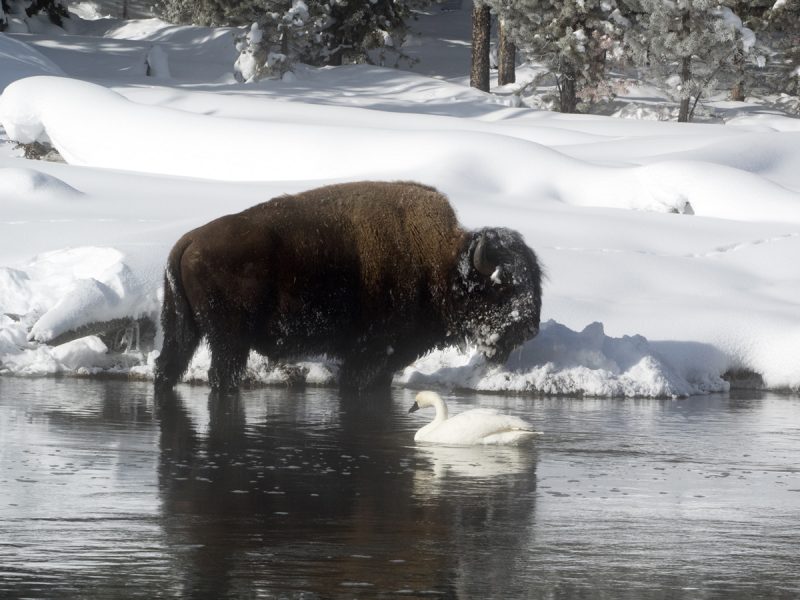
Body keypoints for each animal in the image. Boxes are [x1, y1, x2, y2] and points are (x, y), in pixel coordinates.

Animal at [154, 181, 542, 392]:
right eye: (502, 287)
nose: (530, 328)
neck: (440, 264)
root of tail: (189, 241)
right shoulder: (370, 356)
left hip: (182, 330)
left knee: (166, 367)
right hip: (229, 341)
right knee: (221, 375)